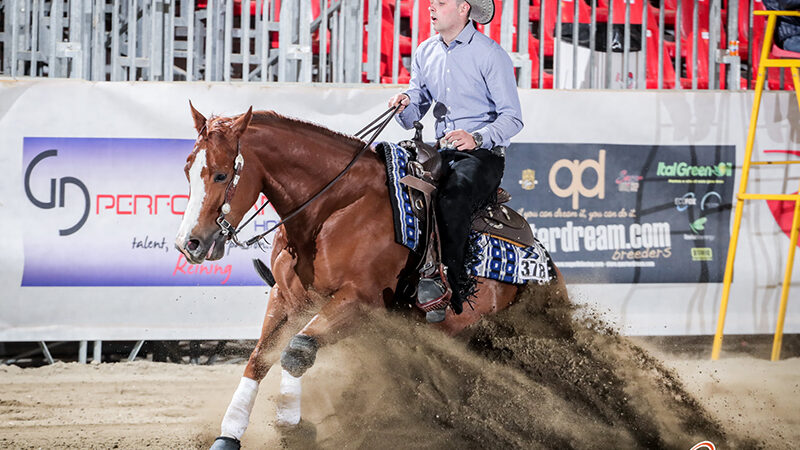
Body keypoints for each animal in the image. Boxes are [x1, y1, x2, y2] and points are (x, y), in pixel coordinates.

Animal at [175, 103, 564, 448]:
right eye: (188, 169)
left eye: (222, 174)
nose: (188, 243)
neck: (335, 206)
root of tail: (546, 265)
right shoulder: (287, 298)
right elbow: (260, 359)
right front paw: (228, 436)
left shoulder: (359, 302)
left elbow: (296, 352)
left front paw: (292, 429)